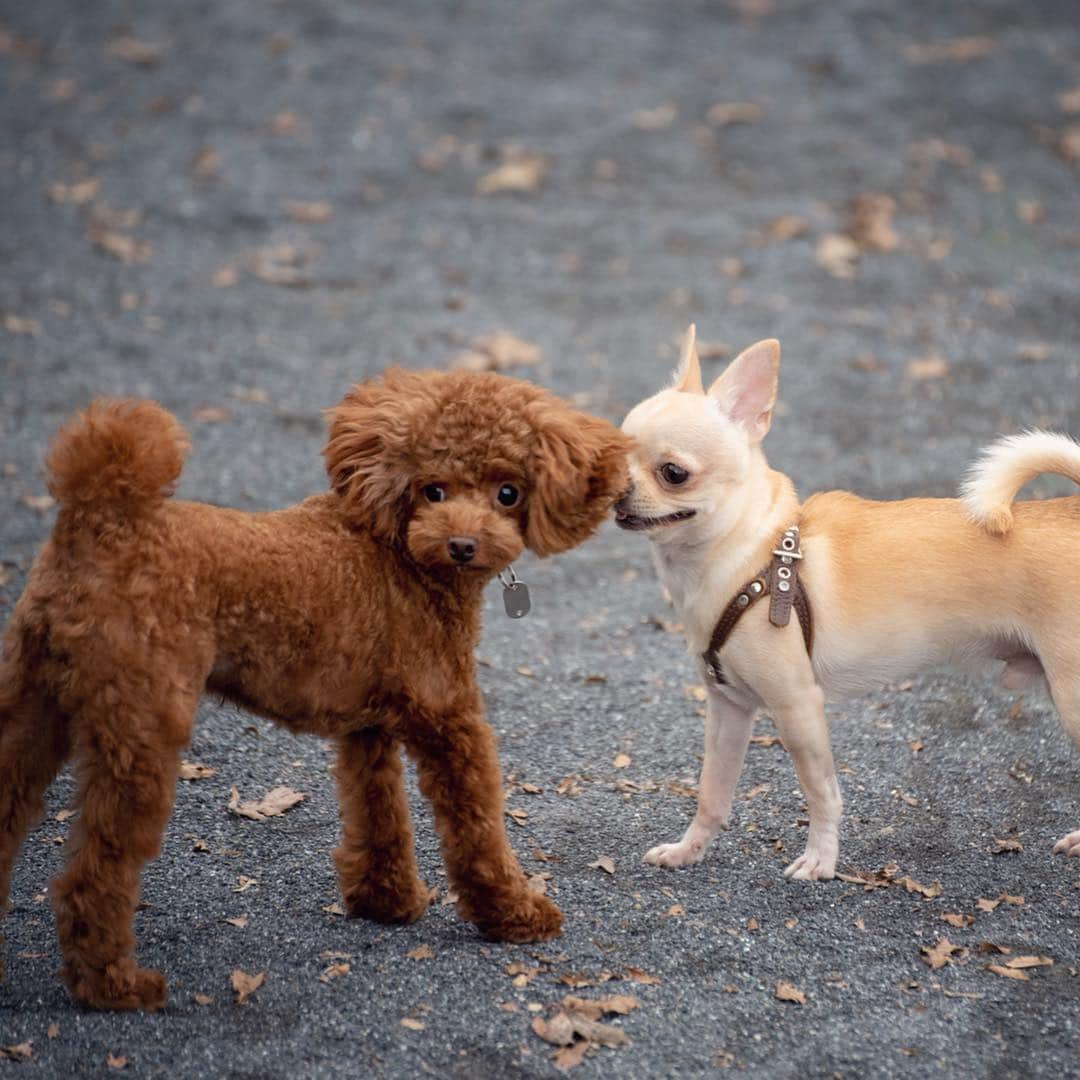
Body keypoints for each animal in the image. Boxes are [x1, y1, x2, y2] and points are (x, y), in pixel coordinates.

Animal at [617, 326, 1080, 876]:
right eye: (612, 451)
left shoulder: (797, 706)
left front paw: (820, 860)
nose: (614, 486)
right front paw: (688, 850)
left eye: (673, 473)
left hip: (1073, 697)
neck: (751, 555)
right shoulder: (729, 709)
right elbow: (712, 792)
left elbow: (821, 793)